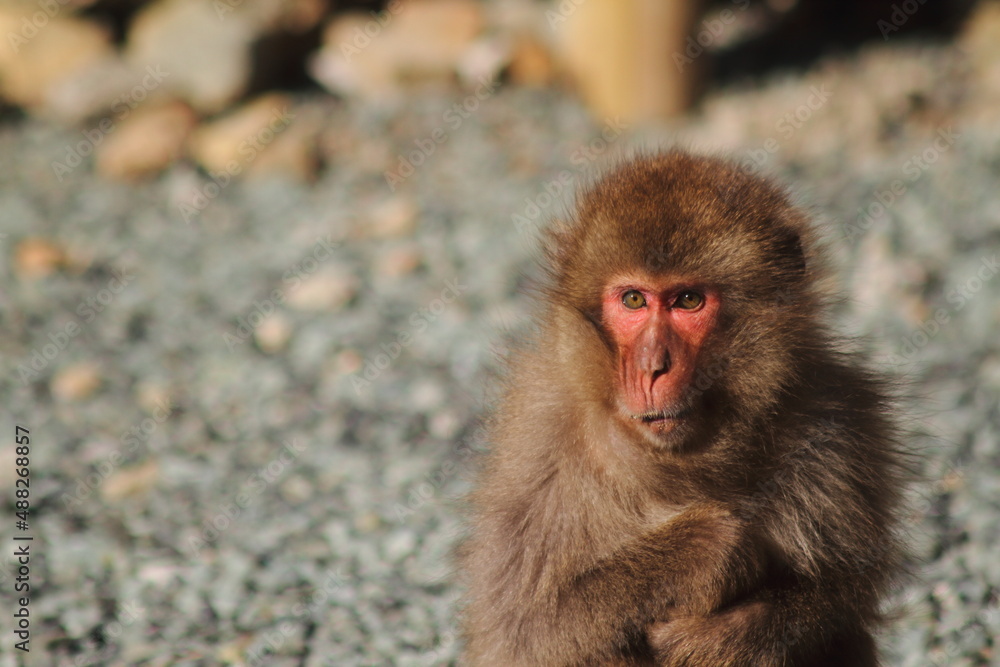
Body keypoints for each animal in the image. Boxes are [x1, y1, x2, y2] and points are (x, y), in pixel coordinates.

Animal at [458, 150, 908, 666]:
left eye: (688, 300)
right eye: (634, 299)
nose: (654, 366)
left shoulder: (840, 423)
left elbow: (842, 589)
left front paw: (727, 636)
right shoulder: (541, 439)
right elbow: (527, 627)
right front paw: (706, 549)